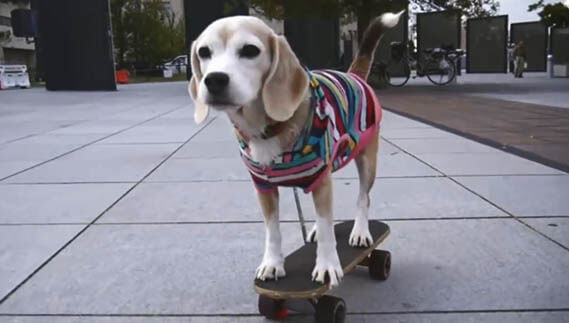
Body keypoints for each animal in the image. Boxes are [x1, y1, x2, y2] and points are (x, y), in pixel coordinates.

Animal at [191, 11, 404, 288]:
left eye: (250, 50)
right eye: (204, 52)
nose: (214, 79)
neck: (267, 128)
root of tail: (354, 75)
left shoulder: (322, 179)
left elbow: (326, 228)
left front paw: (327, 266)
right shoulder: (264, 187)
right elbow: (273, 230)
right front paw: (272, 263)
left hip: (367, 161)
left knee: (362, 198)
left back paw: (359, 231)